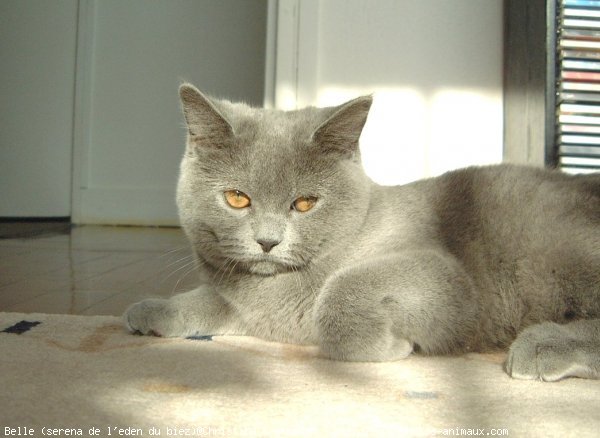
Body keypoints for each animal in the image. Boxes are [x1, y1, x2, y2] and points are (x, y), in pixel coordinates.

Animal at [123, 84, 600, 382]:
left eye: (305, 203)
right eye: (237, 199)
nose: (267, 241)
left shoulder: (445, 273)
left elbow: (343, 293)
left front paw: (393, 345)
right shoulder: (248, 308)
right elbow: (207, 301)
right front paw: (151, 311)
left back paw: (542, 345)